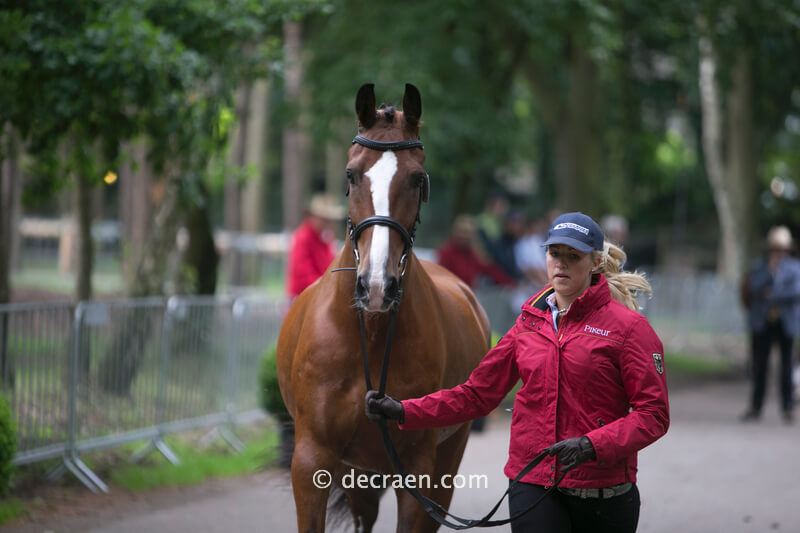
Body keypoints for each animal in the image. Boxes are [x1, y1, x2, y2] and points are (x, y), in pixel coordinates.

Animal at [277, 83, 491, 533]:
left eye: (417, 178)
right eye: (350, 174)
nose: (377, 285)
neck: (371, 334)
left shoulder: (419, 469)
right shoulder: (311, 462)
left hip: (443, 463)